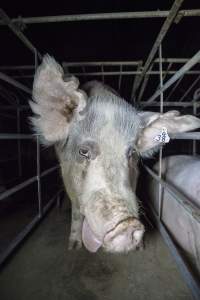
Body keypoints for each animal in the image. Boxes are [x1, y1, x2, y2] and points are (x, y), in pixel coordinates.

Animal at [29, 55, 200, 252]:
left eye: (132, 152)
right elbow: (77, 212)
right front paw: (73, 247)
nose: (128, 224)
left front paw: (140, 247)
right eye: (83, 151)